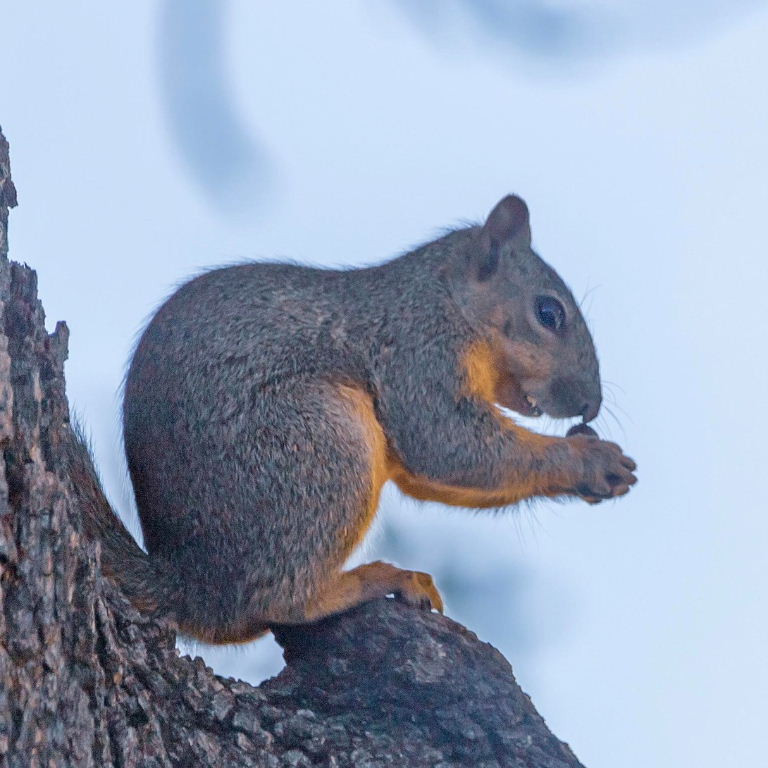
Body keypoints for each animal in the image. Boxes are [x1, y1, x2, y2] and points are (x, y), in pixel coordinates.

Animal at [69, 194, 636, 644]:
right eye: (548, 313)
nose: (591, 405)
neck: (447, 301)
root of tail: (195, 587)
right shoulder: (416, 353)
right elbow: (445, 442)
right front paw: (588, 459)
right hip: (317, 446)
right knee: (281, 600)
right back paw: (377, 580)